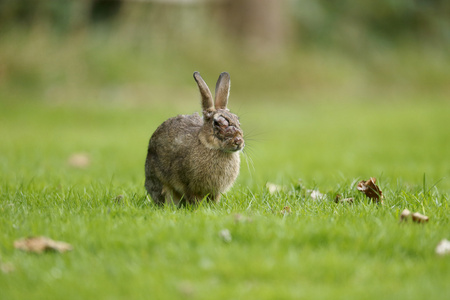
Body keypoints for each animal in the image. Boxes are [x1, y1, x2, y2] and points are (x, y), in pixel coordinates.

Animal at [145, 71, 244, 205]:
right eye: (218, 123)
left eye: (237, 120)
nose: (238, 141)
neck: (208, 145)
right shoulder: (188, 185)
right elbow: (193, 197)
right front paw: (198, 207)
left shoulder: (215, 192)